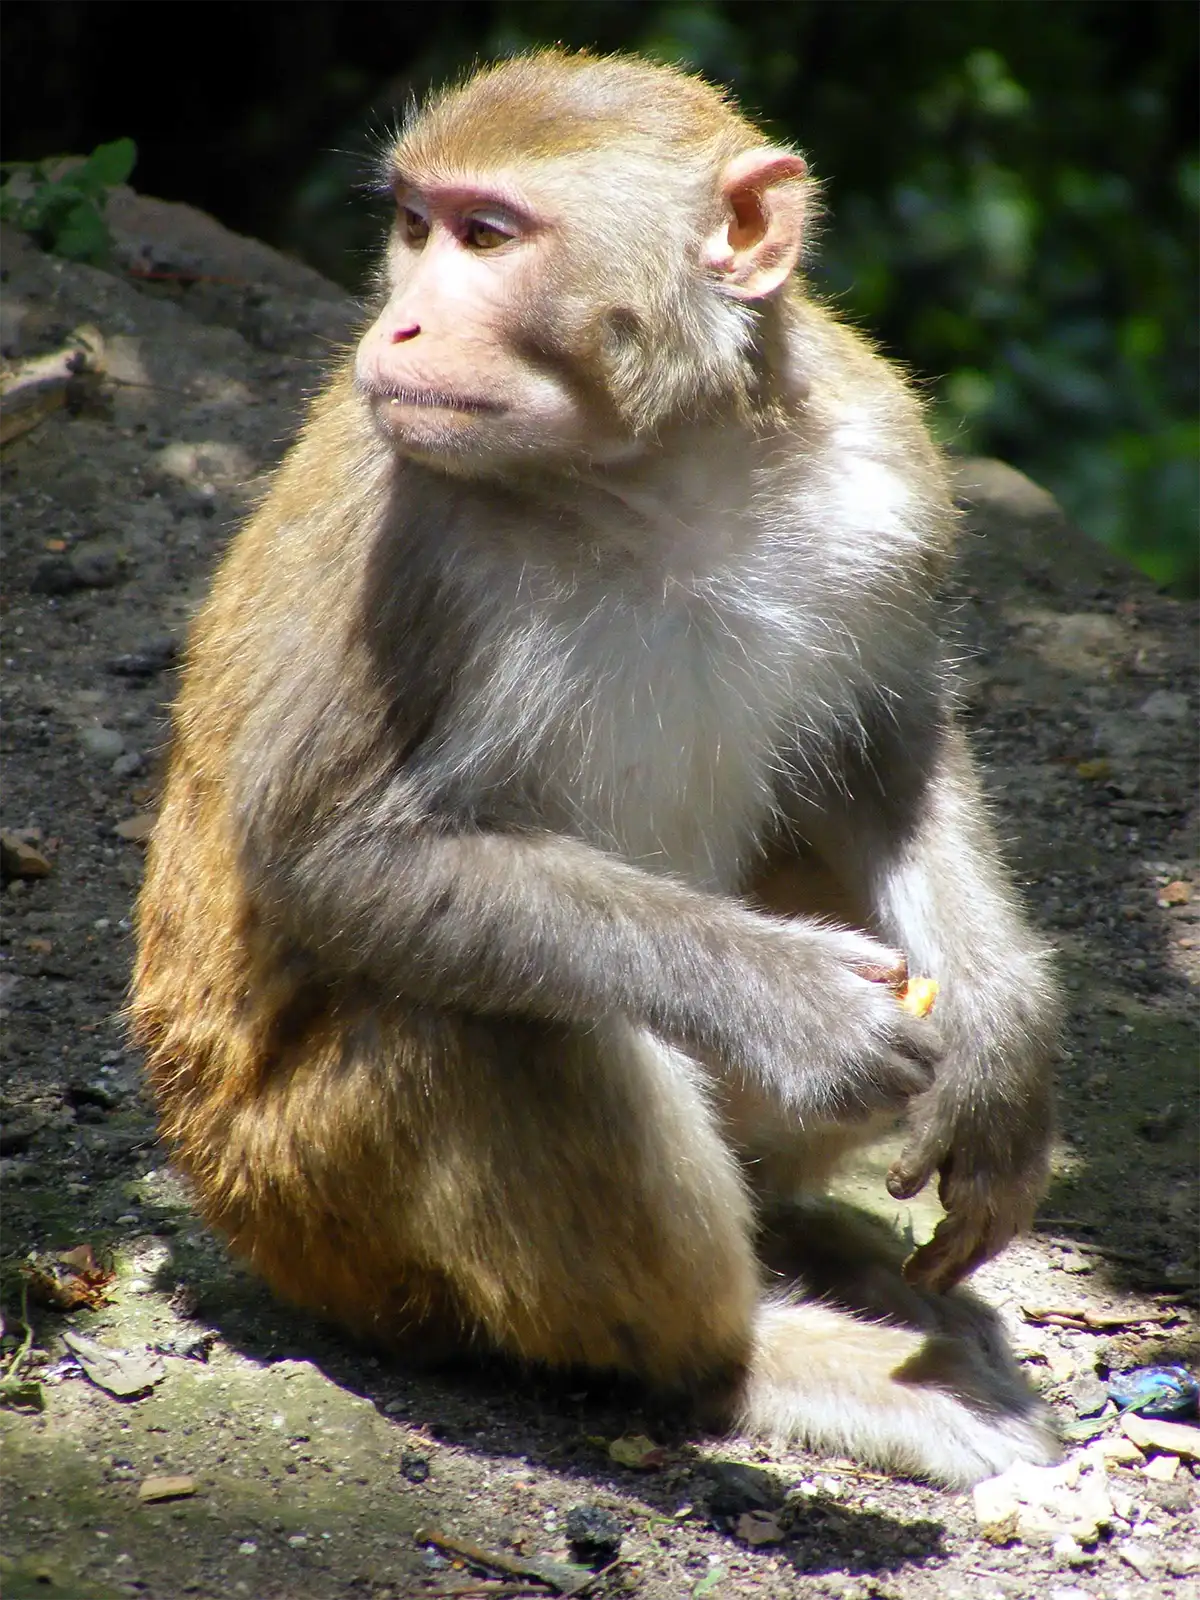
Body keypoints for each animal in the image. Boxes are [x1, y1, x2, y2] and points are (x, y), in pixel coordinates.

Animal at [131, 49, 1062, 1486]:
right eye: (417, 226)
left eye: (487, 237)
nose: (399, 330)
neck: (654, 470)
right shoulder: (410, 529)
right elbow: (328, 857)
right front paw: (794, 1004)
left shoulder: (881, 455)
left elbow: (884, 748)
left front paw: (1005, 1039)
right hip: (314, 1211)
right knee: (506, 1019)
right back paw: (746, 1354)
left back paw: (816, 1237)